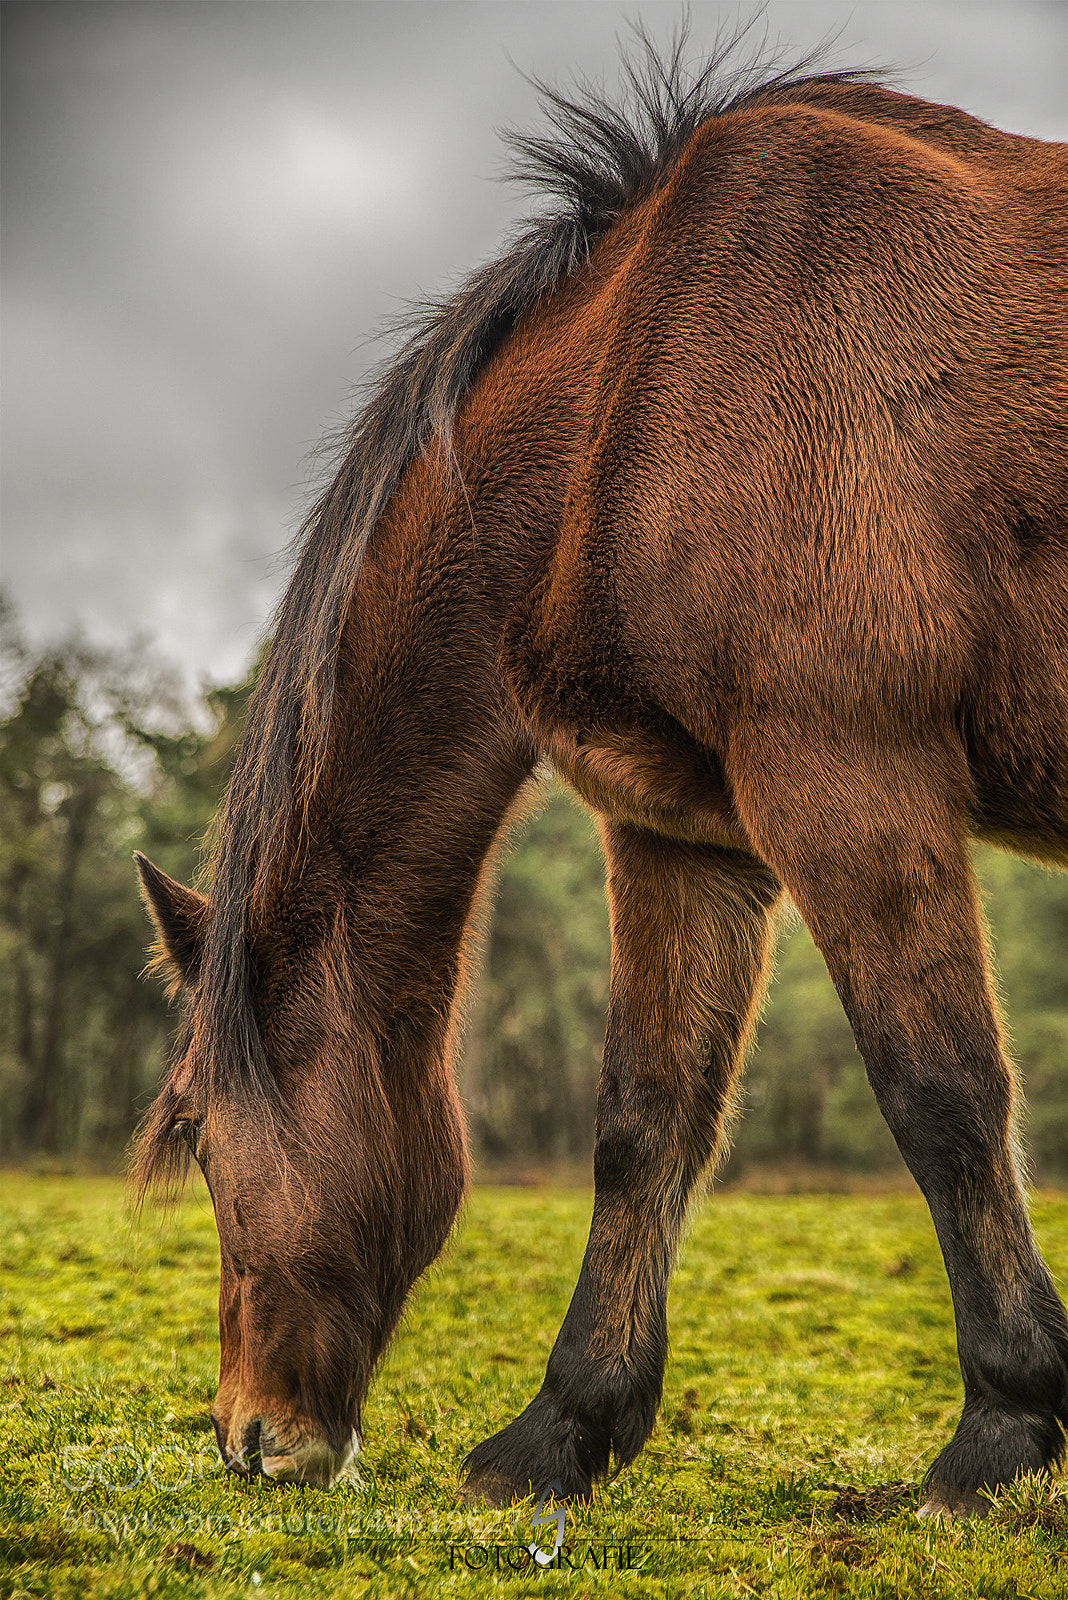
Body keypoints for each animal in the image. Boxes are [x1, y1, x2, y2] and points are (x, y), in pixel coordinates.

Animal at [133, 33, 1068, 1519]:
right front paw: (563, 1428)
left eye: (204, 1138)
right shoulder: (687, 833)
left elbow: (946, 1094)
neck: (640, 387)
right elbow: (647, 1122)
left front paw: (998, 1429)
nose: (251, 1436)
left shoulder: (849, 786)